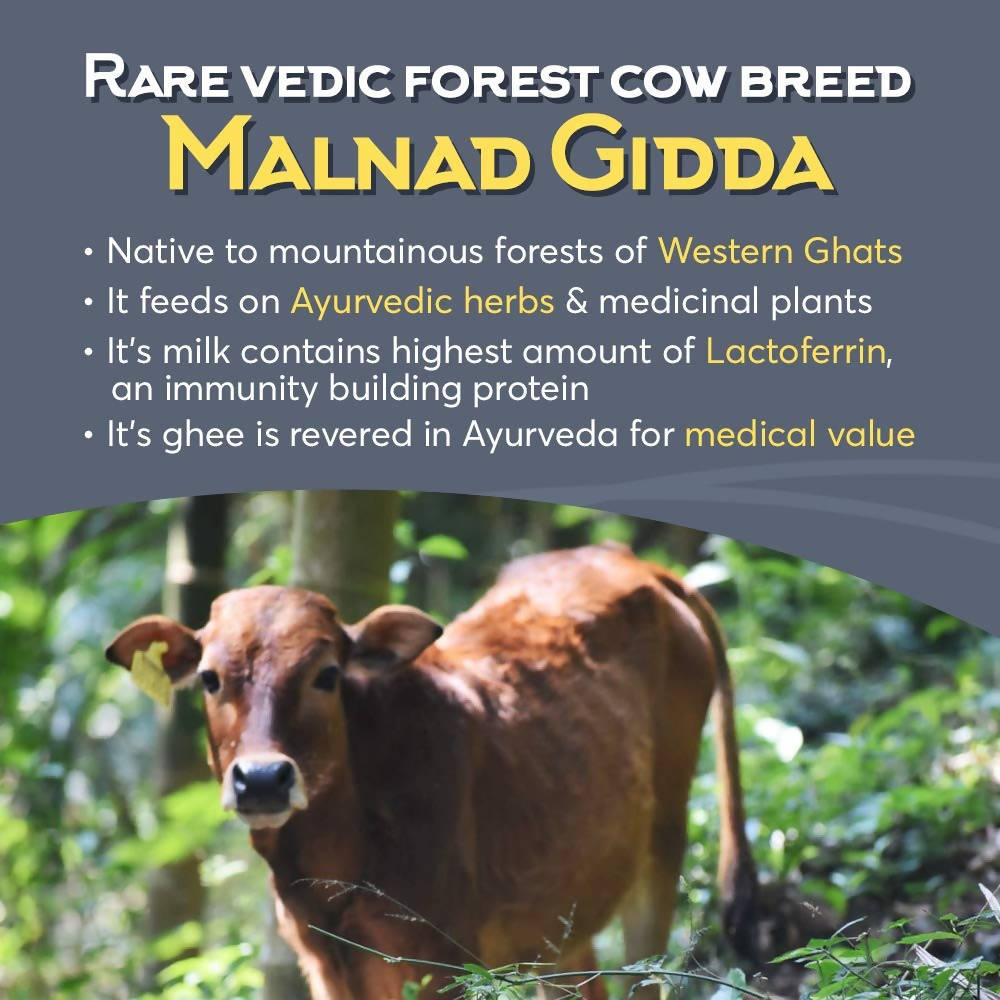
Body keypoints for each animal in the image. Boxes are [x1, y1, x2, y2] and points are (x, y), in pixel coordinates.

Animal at [106, 543, 758, 999]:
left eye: (326, 674)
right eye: (210, 678)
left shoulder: (440, 958)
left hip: (662, 852)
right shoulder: (324, 962)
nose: (262, 779)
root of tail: (636, 561)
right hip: (562, 918)